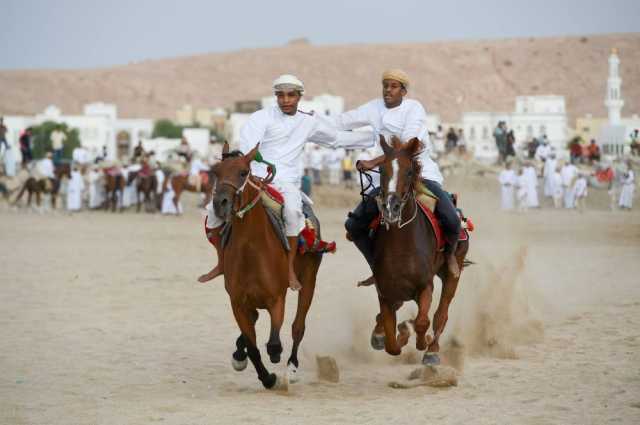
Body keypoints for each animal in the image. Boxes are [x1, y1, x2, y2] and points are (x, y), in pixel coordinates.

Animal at [210, 142, 320, 388]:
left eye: (243, 172)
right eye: (215, 172)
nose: (220, 204)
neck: (251, 252)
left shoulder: (276, 300)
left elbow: (273, 344)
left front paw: (276, 367)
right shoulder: (237, 303)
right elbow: (252, 346)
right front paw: (266, 377)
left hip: (309, 279)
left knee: (298, 327)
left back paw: (292, 367)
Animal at [368, 136, 468, 364]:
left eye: (409, 171)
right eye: (382, 169)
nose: (391, 208)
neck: (402, 248)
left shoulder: (425, 286)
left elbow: (423, 321)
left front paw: (422, 342)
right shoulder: (385, 293)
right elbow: (391, 343)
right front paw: (395, 333)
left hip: (452, 273)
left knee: (441, 314)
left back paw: (432, 350)